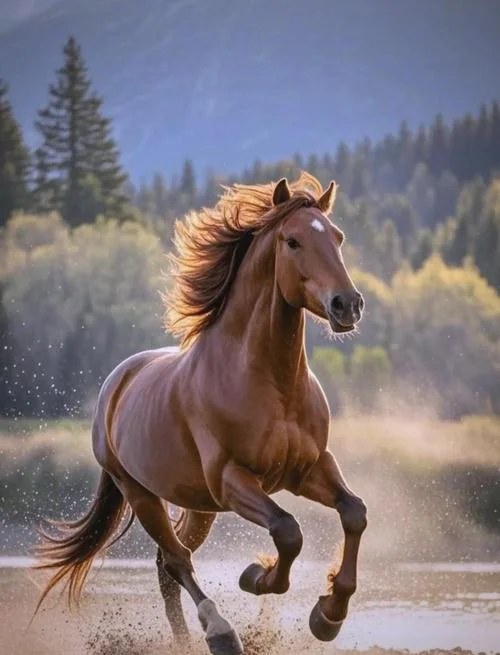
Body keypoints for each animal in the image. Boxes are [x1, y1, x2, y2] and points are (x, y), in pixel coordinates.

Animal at [33, 172, 367, 655]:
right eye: (292, 241)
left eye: (337, 237)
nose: (348, 305)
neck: (271, 384)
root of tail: (115, 385)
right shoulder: (232, 478)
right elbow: (288, 531)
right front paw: (256, 576)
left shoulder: (309, 469)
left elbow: (354, 513)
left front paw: (329, 615)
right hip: (141, 492)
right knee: (176, 560)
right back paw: (221, 633)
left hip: (197, 504)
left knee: (167, 563)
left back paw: (189, 638)